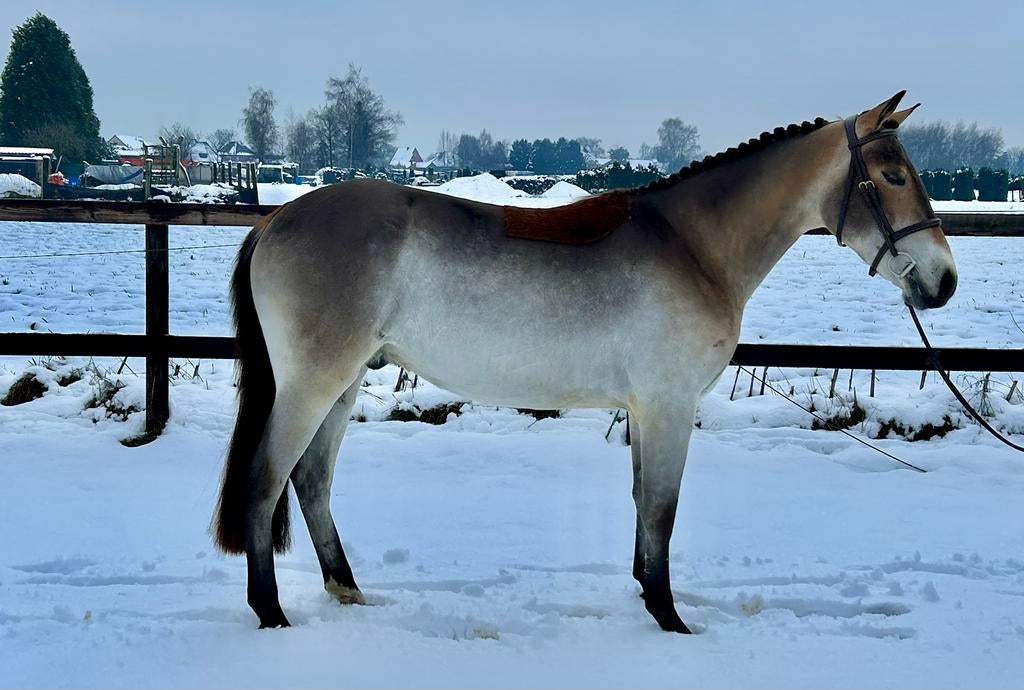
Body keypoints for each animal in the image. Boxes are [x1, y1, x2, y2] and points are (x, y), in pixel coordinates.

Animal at [212, 91, 957, 632]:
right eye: (892, 175)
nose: (943, 281)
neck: (692, 246)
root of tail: (274, 220)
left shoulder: (645, 409)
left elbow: (642, 503)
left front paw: (646, 599)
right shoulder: (669, 405)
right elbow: (661, 509)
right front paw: (670, 621)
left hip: (340, 385)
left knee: (311, 481)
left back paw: (347, 592)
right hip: (315, 383)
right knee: (267, 479)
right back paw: (271, 614)